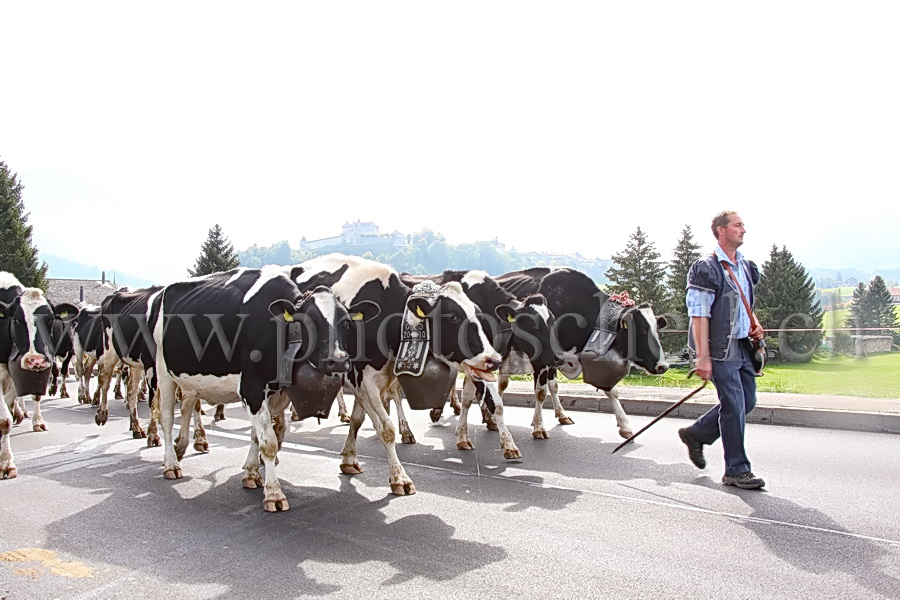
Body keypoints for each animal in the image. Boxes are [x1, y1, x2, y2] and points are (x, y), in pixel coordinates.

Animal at [155, 268, 370, 510]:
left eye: (346, 323)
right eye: (308, 321)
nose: (339, 361)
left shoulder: (274, 392)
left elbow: (257, 435)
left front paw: (251, 474)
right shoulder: (252, 387)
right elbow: (269, 442)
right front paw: (274, 494)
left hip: (191, 380)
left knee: (186, 407)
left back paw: (181, 447)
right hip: (163, 370)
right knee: (166, 418)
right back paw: (171, 464)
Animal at [288, 253, 502, 492]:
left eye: (477, 313)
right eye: (453, 316)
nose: (493, 359)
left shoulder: (374, 380)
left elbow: (358, 420)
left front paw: (349, 459)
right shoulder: (364, 380)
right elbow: (386, 429)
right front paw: (400, 478)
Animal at [492, 270, 668, 438]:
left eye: (657, 329)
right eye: (642, 330)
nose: (663, 366)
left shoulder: (556, 357)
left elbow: (557, 386)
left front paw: (624, 426)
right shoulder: (541, 358)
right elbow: (541, 391)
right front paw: (538, 427)